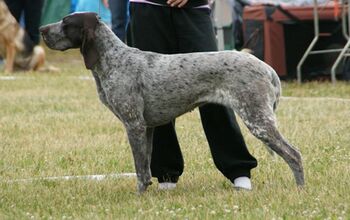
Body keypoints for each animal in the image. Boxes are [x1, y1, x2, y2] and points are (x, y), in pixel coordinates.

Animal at [39, 12, 304, 193]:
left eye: (66, 23)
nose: (41, 29)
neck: (113, 60)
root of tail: (266, 67)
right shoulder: (146, 127)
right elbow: (145, 167)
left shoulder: (133, 124)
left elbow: (139, 168)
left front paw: (139, 196)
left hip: (257, 119)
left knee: (294, 154)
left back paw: (300, 189)